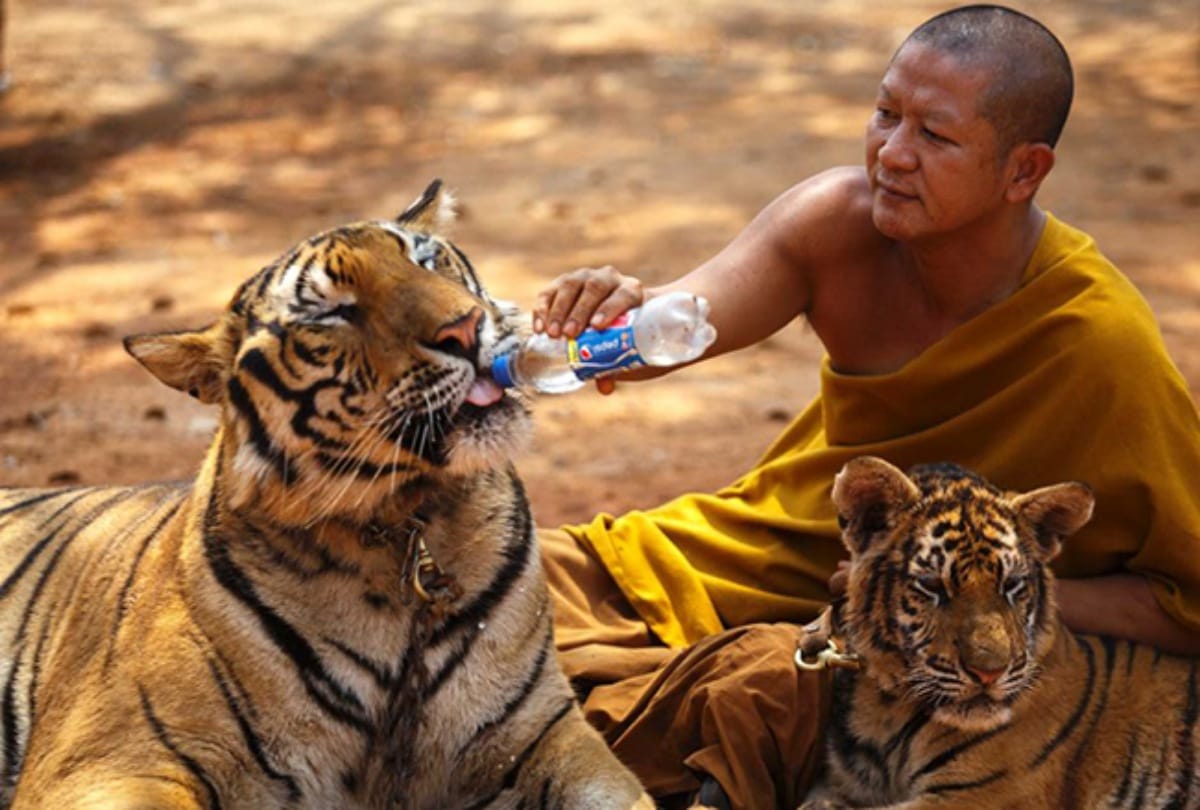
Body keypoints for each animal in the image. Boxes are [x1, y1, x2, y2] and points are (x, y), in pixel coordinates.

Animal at [0, 180, 654, 810]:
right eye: (334, 312)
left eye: (425, 259)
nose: (466, 328)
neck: (404, 522)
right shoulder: (115, 756)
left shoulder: (545, 733)